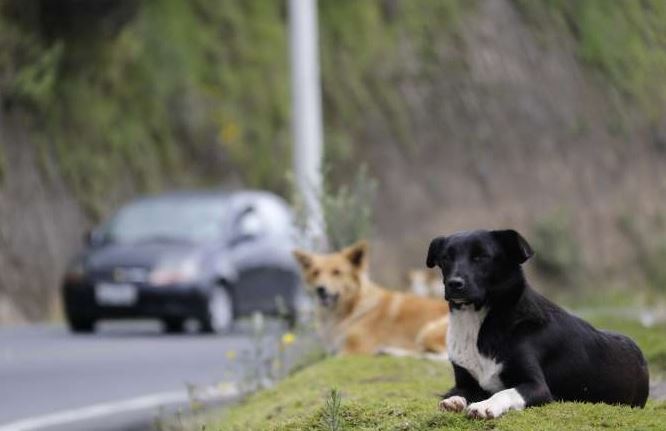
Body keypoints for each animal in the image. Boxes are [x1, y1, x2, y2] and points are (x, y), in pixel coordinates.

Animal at [426, 231, 648, 420]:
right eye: (445, 258)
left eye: (481, 257)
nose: (454, 284)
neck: (478, 322)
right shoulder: (465, 382)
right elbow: (456, 392)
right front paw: (453, 401)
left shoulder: (538, 386)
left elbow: (505, 392)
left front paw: (484, 405)